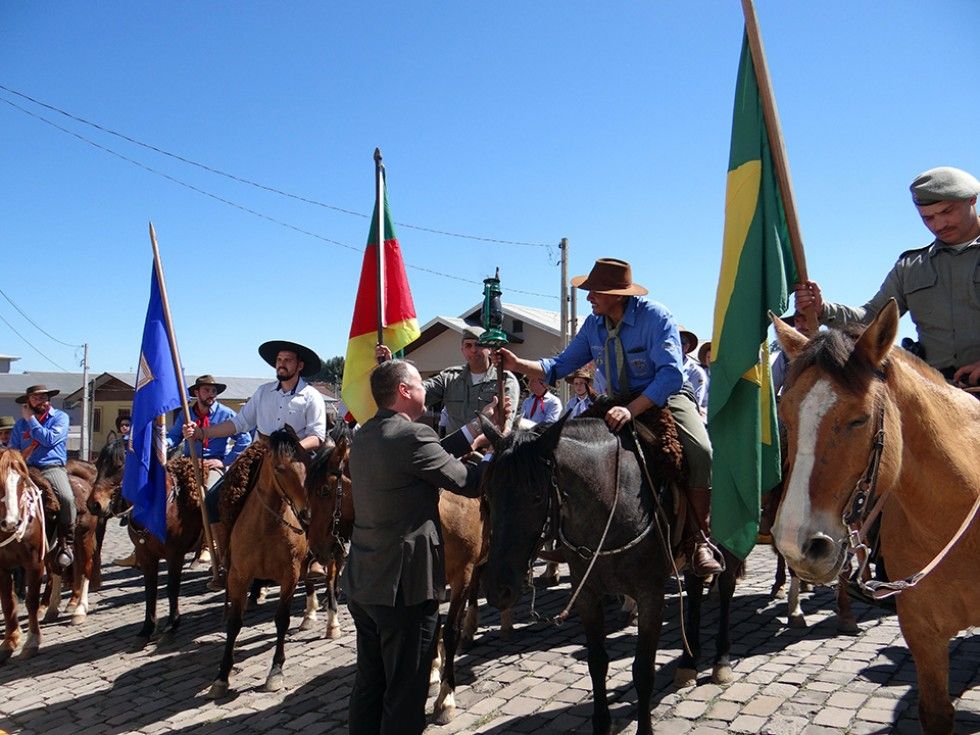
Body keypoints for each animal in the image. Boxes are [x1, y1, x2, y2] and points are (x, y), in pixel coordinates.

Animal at [86, 440, 203, 640]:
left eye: (119, 465)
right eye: (97, 464)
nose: (93, 504)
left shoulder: (175, 555)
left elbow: (172, 587)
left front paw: (173, 622)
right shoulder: (145, 555)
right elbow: (150, 589)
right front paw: (148, 627)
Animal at [206, 428, 310, 700]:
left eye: (307, 463)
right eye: (279, 469)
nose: (305, 515)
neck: (266, 526)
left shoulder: (290, 575)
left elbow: (282, 620)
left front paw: (276, 671)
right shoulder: (238, 576)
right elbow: (234, 623)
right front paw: (222, 676)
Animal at [478, 414, 740, 735]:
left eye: (537, 496)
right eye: (488, 493)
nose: (497, 588)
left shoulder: (650, 596)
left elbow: (642, 670)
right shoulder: (587, 595)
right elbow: (597, 663)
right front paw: (601, 724)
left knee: (725, 590)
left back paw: (721, 661)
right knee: (693, 589)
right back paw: (688, 663)